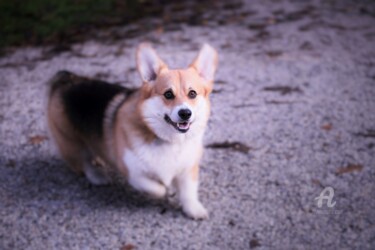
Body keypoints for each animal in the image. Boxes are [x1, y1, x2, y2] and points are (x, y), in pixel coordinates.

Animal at [47, 44, 219, 220]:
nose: (185, 113)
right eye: (168, 94)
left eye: (192, 93)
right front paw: (167, 191)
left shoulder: (188, 170)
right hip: (72, 143)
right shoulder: (133, 173)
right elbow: (157, 188)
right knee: (84, 161)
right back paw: (97, 176)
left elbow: (188, 193)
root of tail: (64, 79)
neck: (168, 140)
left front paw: (194, 210)